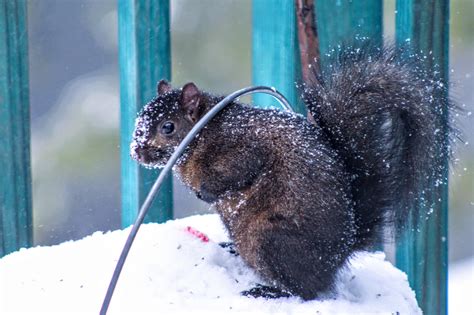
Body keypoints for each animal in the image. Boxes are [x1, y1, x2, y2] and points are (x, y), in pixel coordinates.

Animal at [129, 45, 452, 302]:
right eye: (140, 118)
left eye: (168, 127)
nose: (136, 151)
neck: (203, 133)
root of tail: (340, 253)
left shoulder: (243, 147)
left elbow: (239, 171)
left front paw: (206, 191)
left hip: (270, 239)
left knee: (307, 291)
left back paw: (269, 291)